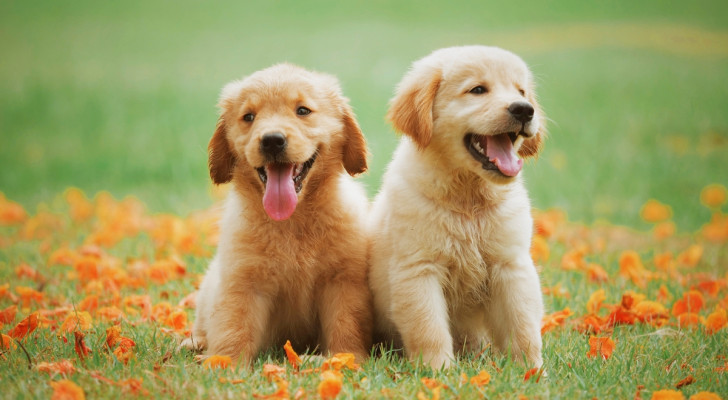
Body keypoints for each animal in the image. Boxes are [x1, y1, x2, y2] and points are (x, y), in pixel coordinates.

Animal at [181, 63, 372, 366]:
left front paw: (345, 357)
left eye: (303, 110)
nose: (272, 141)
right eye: (249, 116)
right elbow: (233, 325)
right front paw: (224, 363)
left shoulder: (343, 280)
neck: (292, 221)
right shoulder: (242, 281)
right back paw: (194, 343)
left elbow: (346, 323)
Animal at [370, 44, 544, 368]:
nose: (525, 109)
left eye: (521, 91)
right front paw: (439, 370)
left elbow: (523, 325)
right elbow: (429, 327)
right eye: (477, 90)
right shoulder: (419, 269)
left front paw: (532, 370)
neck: (468, 199)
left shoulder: (510, 266)